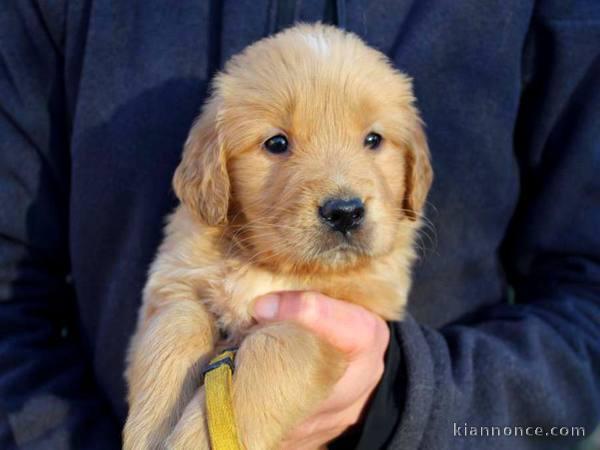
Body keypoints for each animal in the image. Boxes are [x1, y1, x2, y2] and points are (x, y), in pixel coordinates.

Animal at [123, 24, 432, 450]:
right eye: (277, 143)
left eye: (373, 140)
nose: (345, 212)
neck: (269, 264)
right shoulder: (171, 283)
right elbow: (176, 325)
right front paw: (150, 429)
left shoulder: (335, 319)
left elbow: (274, 348)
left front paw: (193, 440)